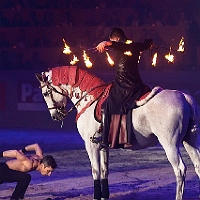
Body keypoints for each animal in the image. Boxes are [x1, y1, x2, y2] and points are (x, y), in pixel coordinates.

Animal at [36, 66, 200, 200]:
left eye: (45, 93)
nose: (55, 116)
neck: (90, 100)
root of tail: (184, 96)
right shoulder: (103, 146)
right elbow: (104, 171)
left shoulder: (91, 145)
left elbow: (96, 171)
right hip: (189, 140)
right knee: (197, 165)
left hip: (169, 144)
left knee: (180, 170)